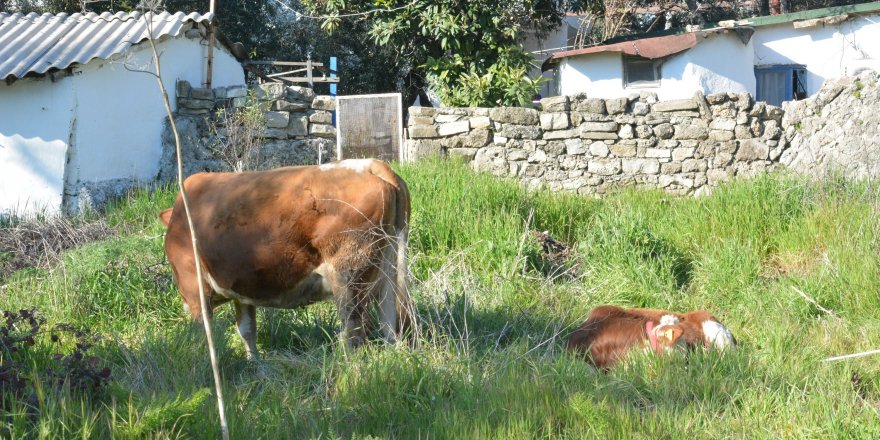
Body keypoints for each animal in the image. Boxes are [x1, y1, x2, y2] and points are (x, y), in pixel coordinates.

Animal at [159, 158, 412, 358]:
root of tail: (370, 164)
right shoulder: (242, 289)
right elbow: (247, 330)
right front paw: (254, 364)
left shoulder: (194, 287)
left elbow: (205, 333)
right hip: (387, 274)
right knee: (390, 327)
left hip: (348, 277)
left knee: (354, 330)